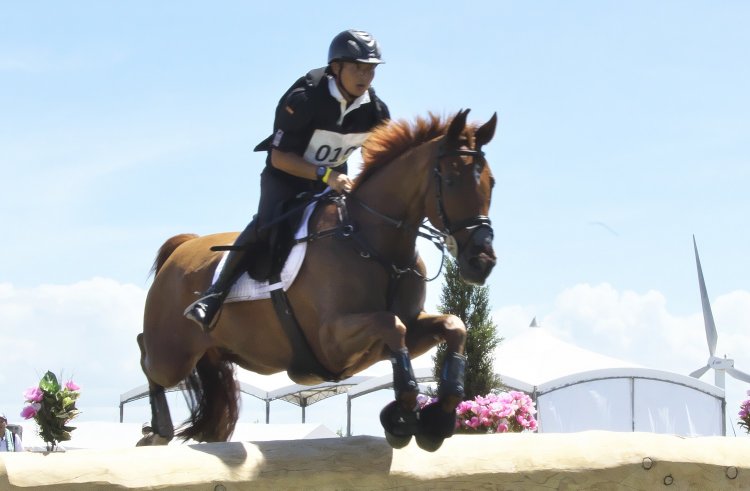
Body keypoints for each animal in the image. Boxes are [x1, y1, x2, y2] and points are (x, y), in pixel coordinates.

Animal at [137, 109, 498, 451]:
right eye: (450, 180)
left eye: (491, 182)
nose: (481, 262)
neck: (373, 244)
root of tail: (181, 247)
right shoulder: (332, 340)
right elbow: (390, 324)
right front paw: (403, 417)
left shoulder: (410, 328)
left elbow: (453, 326)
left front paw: (436, 420)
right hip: (173, 355)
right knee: (147, 355)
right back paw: (158, 431)